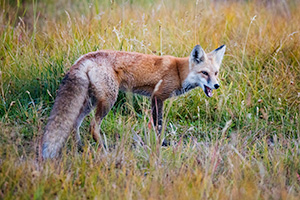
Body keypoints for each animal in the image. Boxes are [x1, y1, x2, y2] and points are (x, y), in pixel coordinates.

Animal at [41, 44, 226, 159]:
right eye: (204, 73)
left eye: (215, 73)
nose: (216, 85)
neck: (179, 72)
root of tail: (85, 57)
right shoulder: (157, 97)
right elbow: (158, 125)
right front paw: (161, 144)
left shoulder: (155, 98)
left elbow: (157, 125)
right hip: (108, 100)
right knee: (93, 126)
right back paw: (103, 149)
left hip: (90, 102)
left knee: (75, 123)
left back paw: (80, 147)